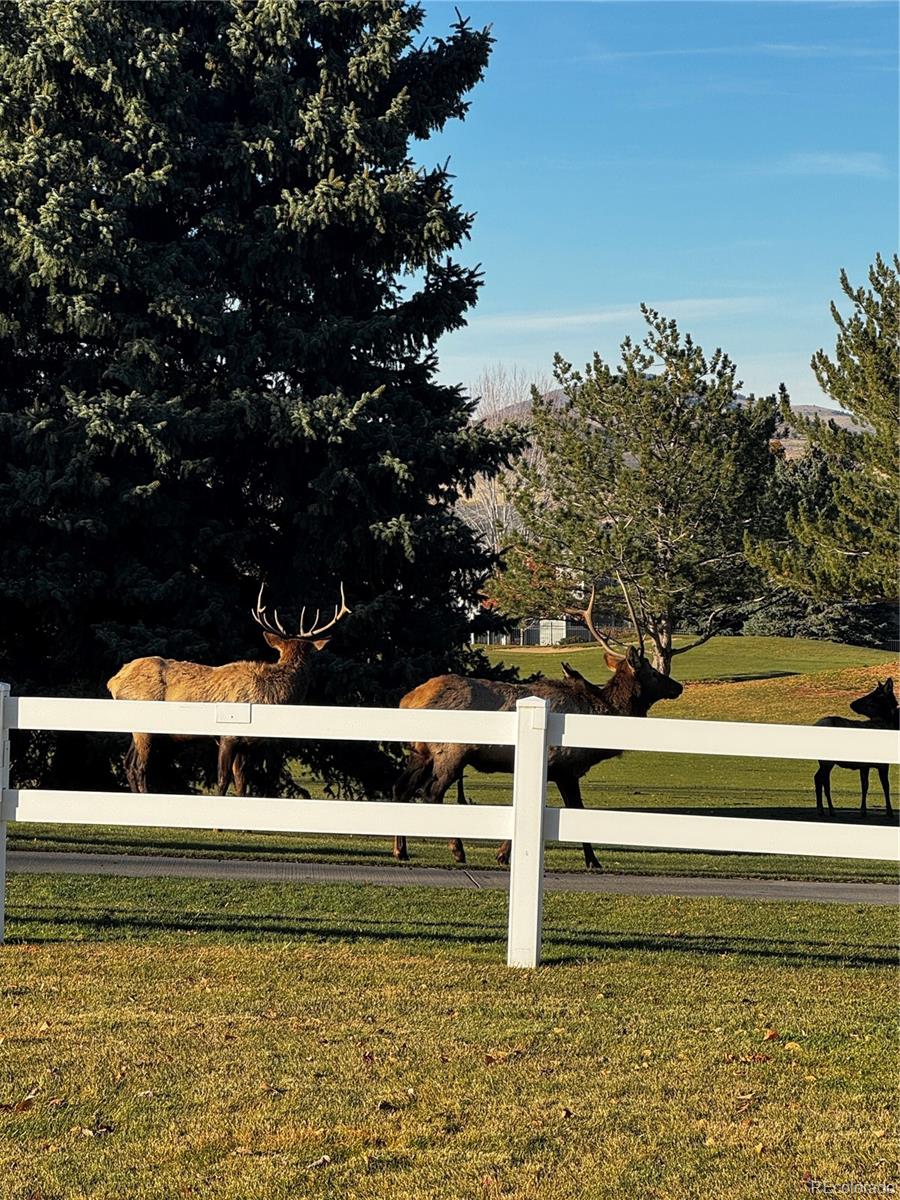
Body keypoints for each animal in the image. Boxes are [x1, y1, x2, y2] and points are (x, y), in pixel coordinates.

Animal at [107, 583, 350, 792]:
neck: (269, 696)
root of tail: (114, 681)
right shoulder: (227, 735)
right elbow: (223, 779)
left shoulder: (248, 744)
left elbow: (242, 781)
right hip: (144, 725)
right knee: (138, 766)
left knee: (128, 764)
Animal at [393, 590, 681, 873]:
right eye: (653, 673)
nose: (677, 686)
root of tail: (408, 700)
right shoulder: (564, 767)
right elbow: (573, 808)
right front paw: (592, 860)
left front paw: (505, 854)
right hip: (451, 752)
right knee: (431, 793)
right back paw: (457, 850)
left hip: (420, 752)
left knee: (401, 788)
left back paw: (401, 850)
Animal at [816, 681, 897, 820]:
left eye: (875, 695)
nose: (852, 704)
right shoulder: (883, 764)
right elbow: (886, 786)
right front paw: (890, 812)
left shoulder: (865, 765)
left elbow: (865, 786)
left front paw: (863, 811)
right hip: (827, 761)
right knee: (824, 781)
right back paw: (831, 810)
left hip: (823, 761)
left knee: (817, 778)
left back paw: (821, 810)